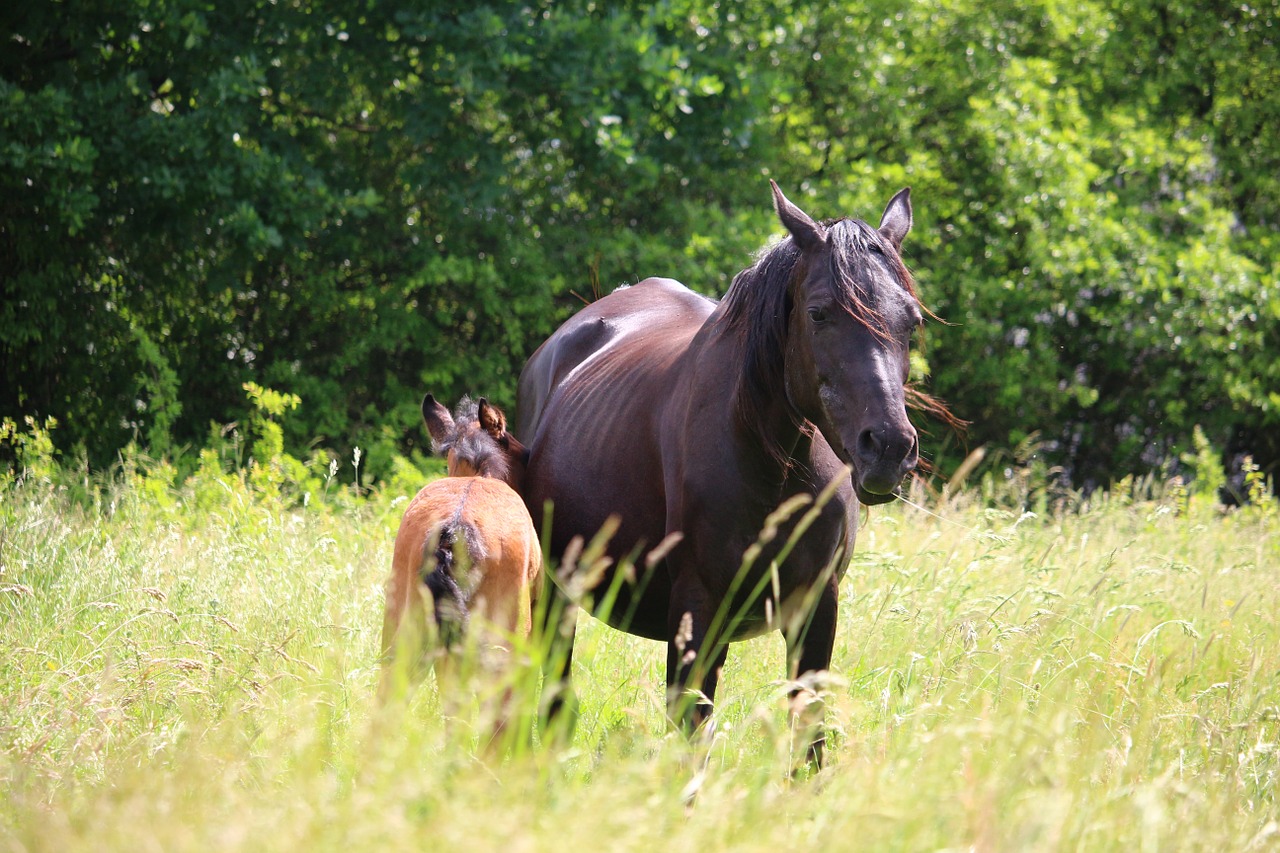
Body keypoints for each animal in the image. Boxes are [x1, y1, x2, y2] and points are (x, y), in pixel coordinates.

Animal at [517, 180, 931, 758]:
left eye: (912, 320)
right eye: (819, 313)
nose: (889, 448)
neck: (772, 468)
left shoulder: (816, 607)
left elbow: (809, 738)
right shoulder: (699, 609)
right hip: (558, 591)